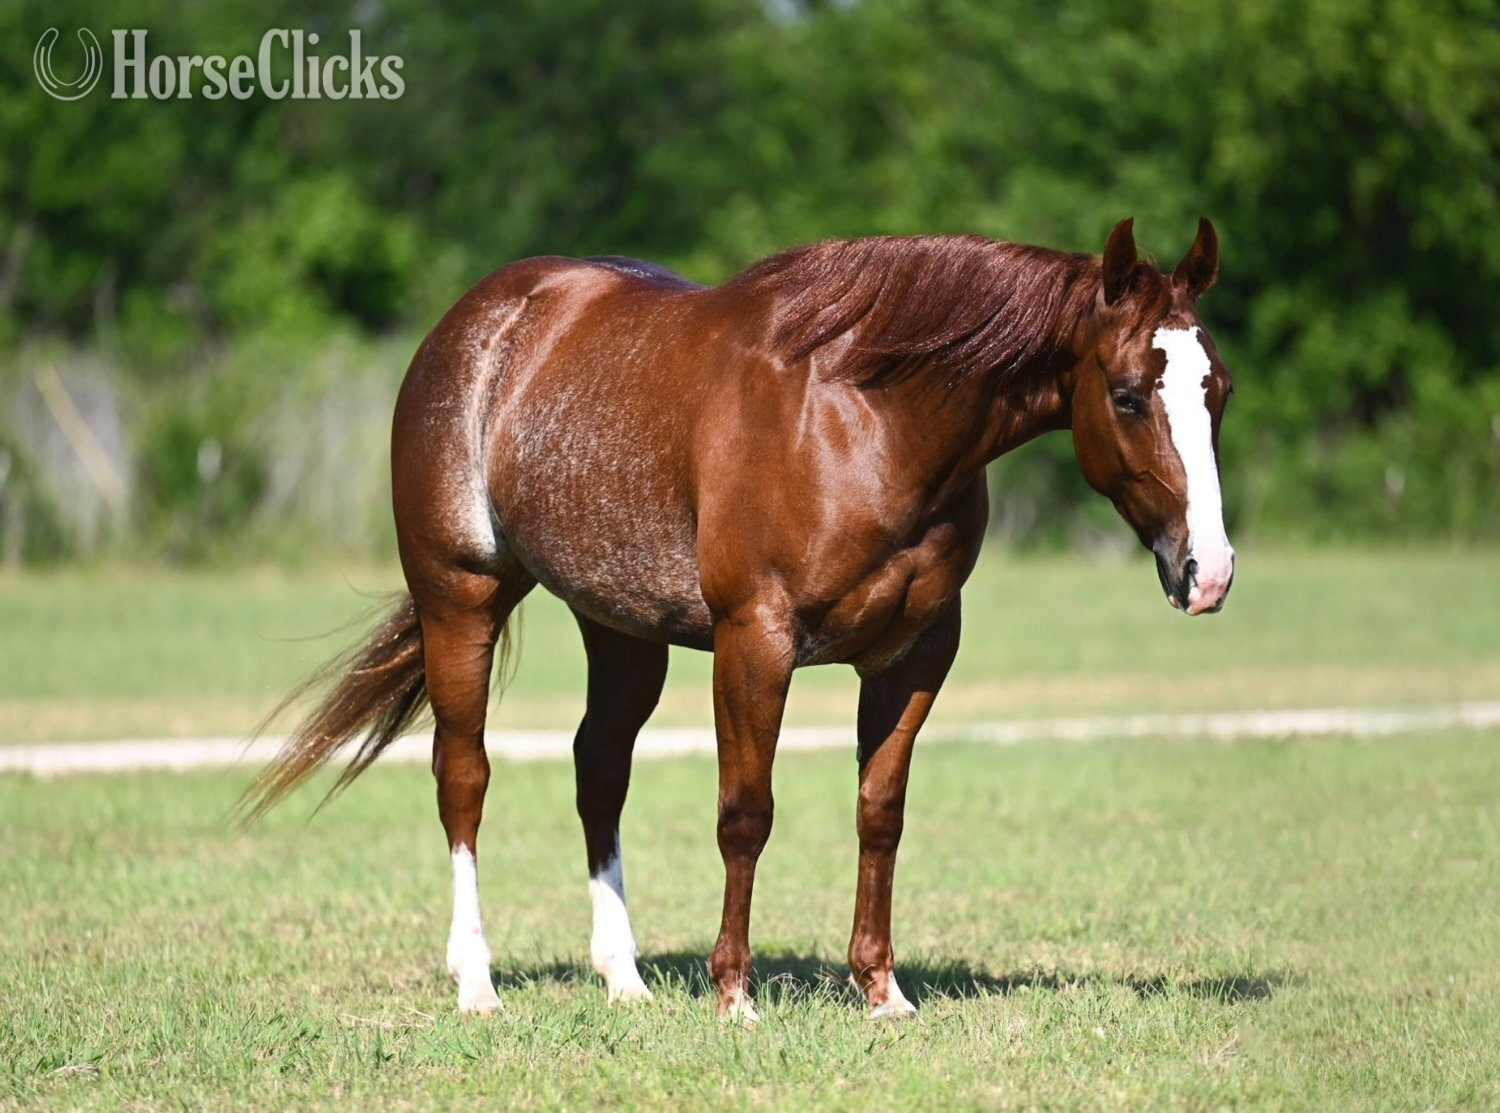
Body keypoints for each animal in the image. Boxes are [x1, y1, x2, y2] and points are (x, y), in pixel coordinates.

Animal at [242, 217, 1235, 1022]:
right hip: (462, 599)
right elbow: (745, 813)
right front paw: (734, 993)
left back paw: (624, 976)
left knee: (599, 769)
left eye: (1215, 389)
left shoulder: (916, 654)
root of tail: (476, 321)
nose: (1210, 571)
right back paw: (478, 983)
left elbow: (880, 811)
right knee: (464, 775)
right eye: (1129, 393)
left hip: (622, 628)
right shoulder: (753, 641)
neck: (866, 415)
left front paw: (881, 990)